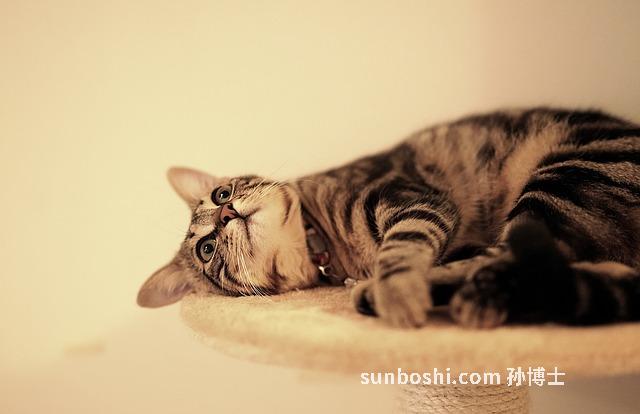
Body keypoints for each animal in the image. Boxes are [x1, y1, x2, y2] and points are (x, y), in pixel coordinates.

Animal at [137, 107, 640, 329]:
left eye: (221, 193)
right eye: (206, 249)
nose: (224, 213)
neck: (322, 245)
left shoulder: (408, 199)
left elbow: (398, 251)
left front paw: (396, 291)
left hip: (560, 177)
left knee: (506, 259)